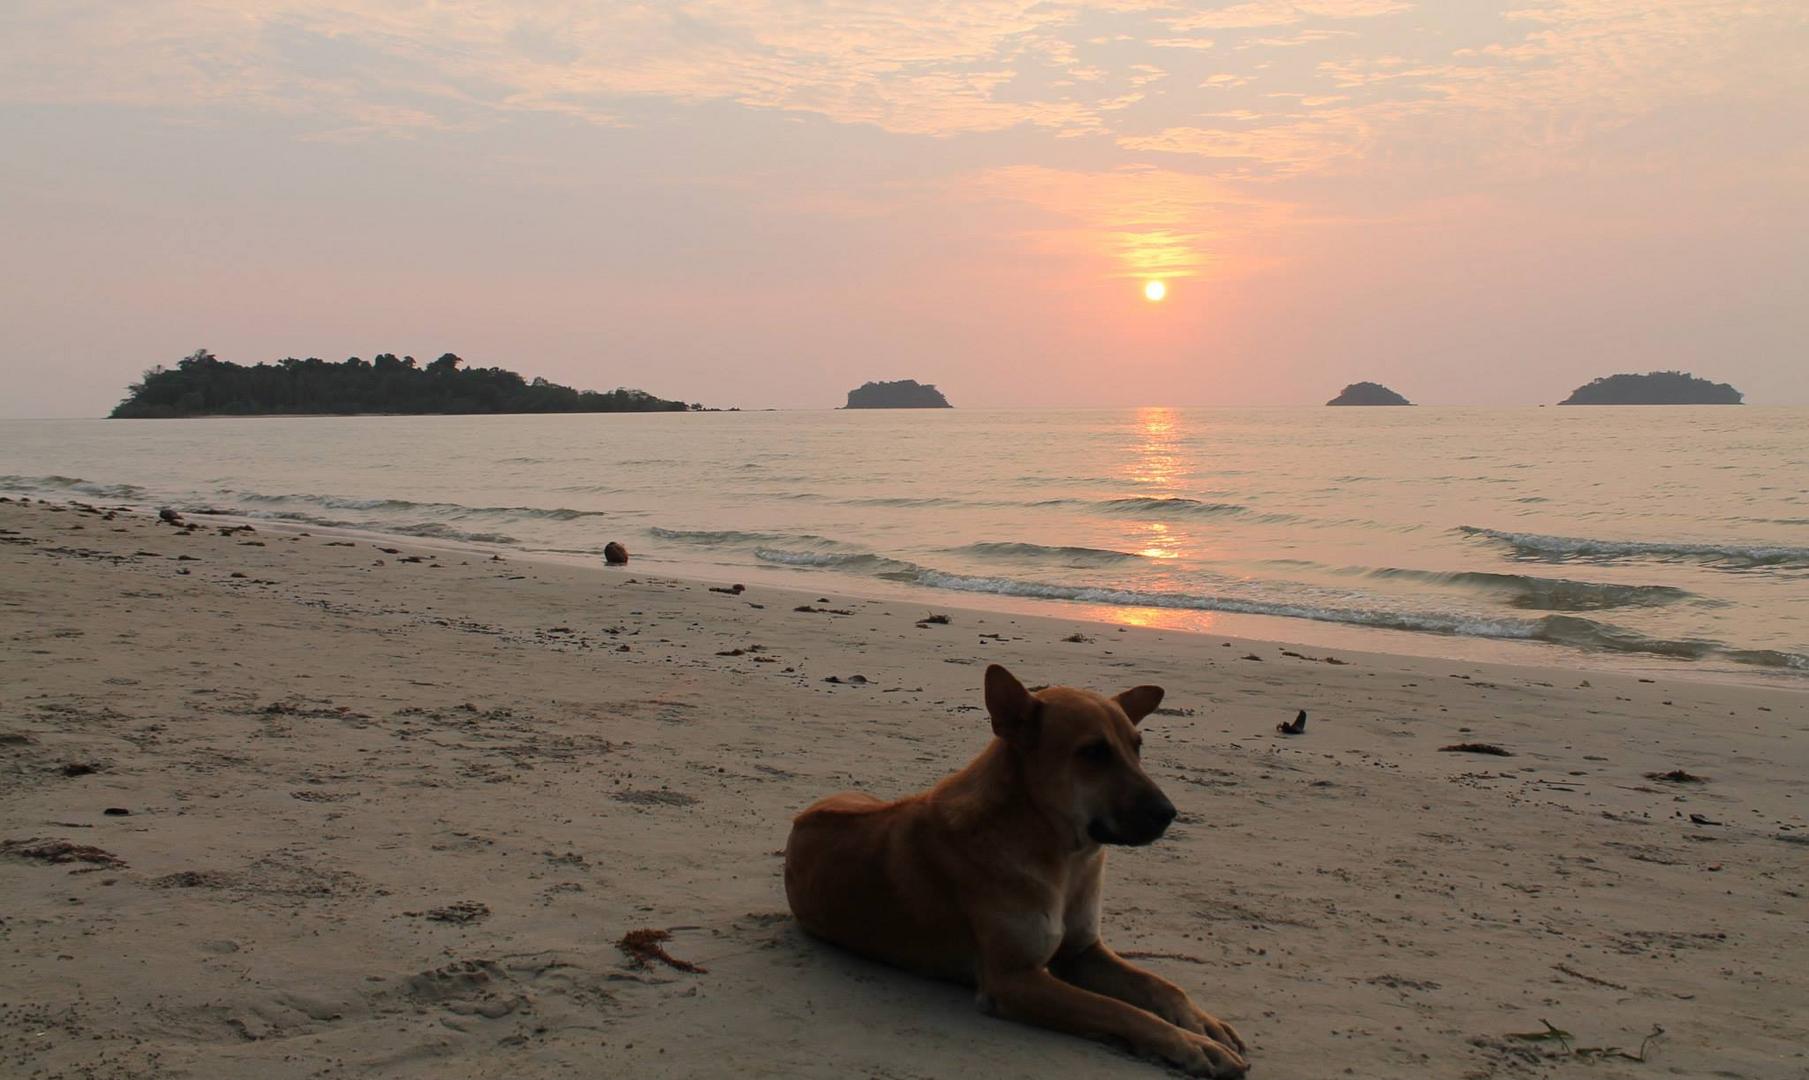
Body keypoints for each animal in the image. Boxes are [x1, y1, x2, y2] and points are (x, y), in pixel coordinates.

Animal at [785, 662, 1251, 1070]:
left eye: (1138, 747)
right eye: (1094, 752)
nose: (1168, 813)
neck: (1063, 856)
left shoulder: (1083, 951)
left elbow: (1160, 985)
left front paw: (1201, 1022)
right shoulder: (1015, 979)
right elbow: (1119, 1010)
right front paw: (1190, 1045)